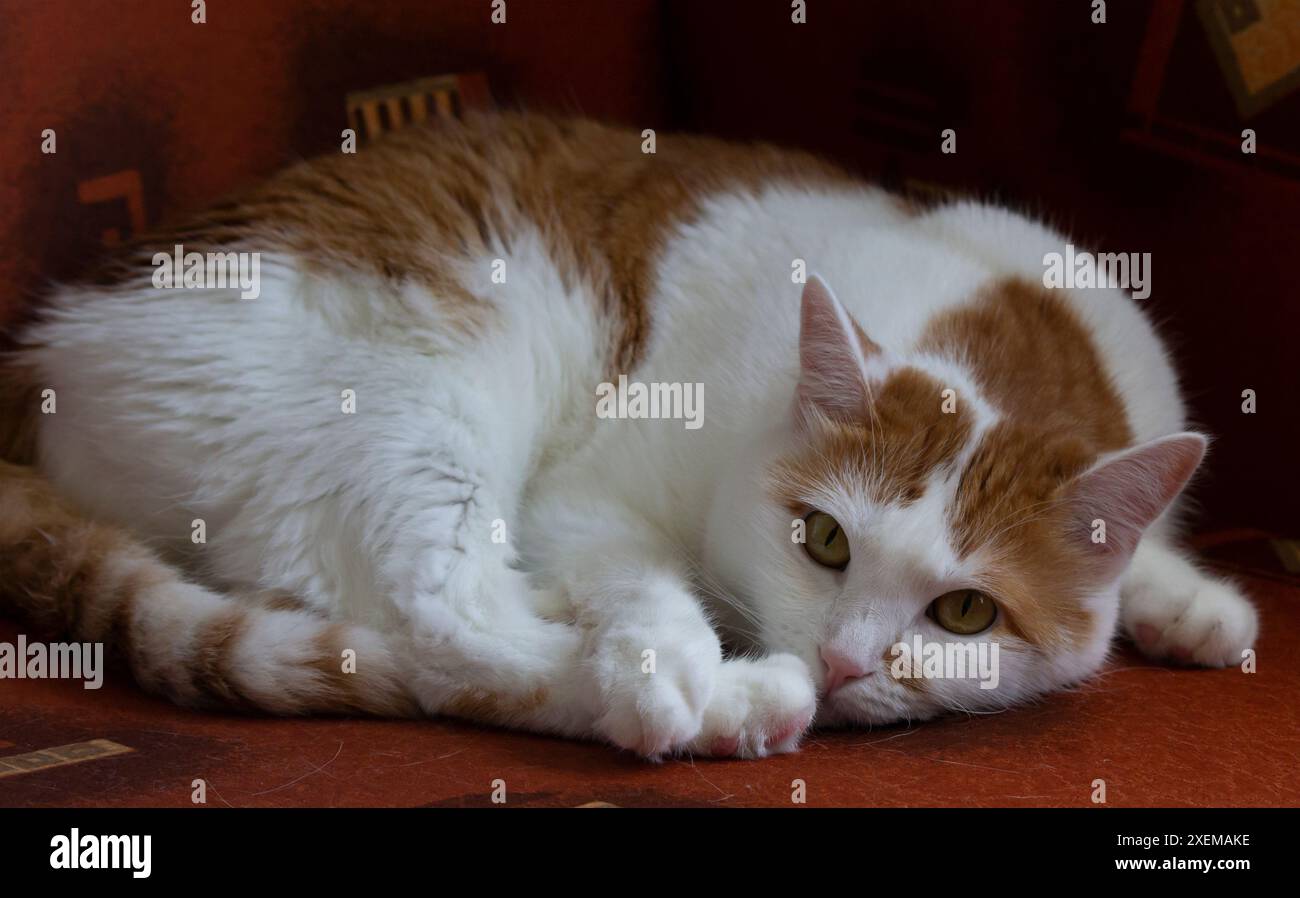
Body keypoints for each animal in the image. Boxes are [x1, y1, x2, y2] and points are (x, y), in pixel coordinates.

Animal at [0, 112, 1258, 758]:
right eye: (824, 543)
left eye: (965, 613)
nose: (846, 662)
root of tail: (40, 355)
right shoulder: (585, 492)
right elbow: (636, 579)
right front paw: (669, 665)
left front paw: (1189, 601)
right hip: (413, 411)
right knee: (449, 634)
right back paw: (734, 702)